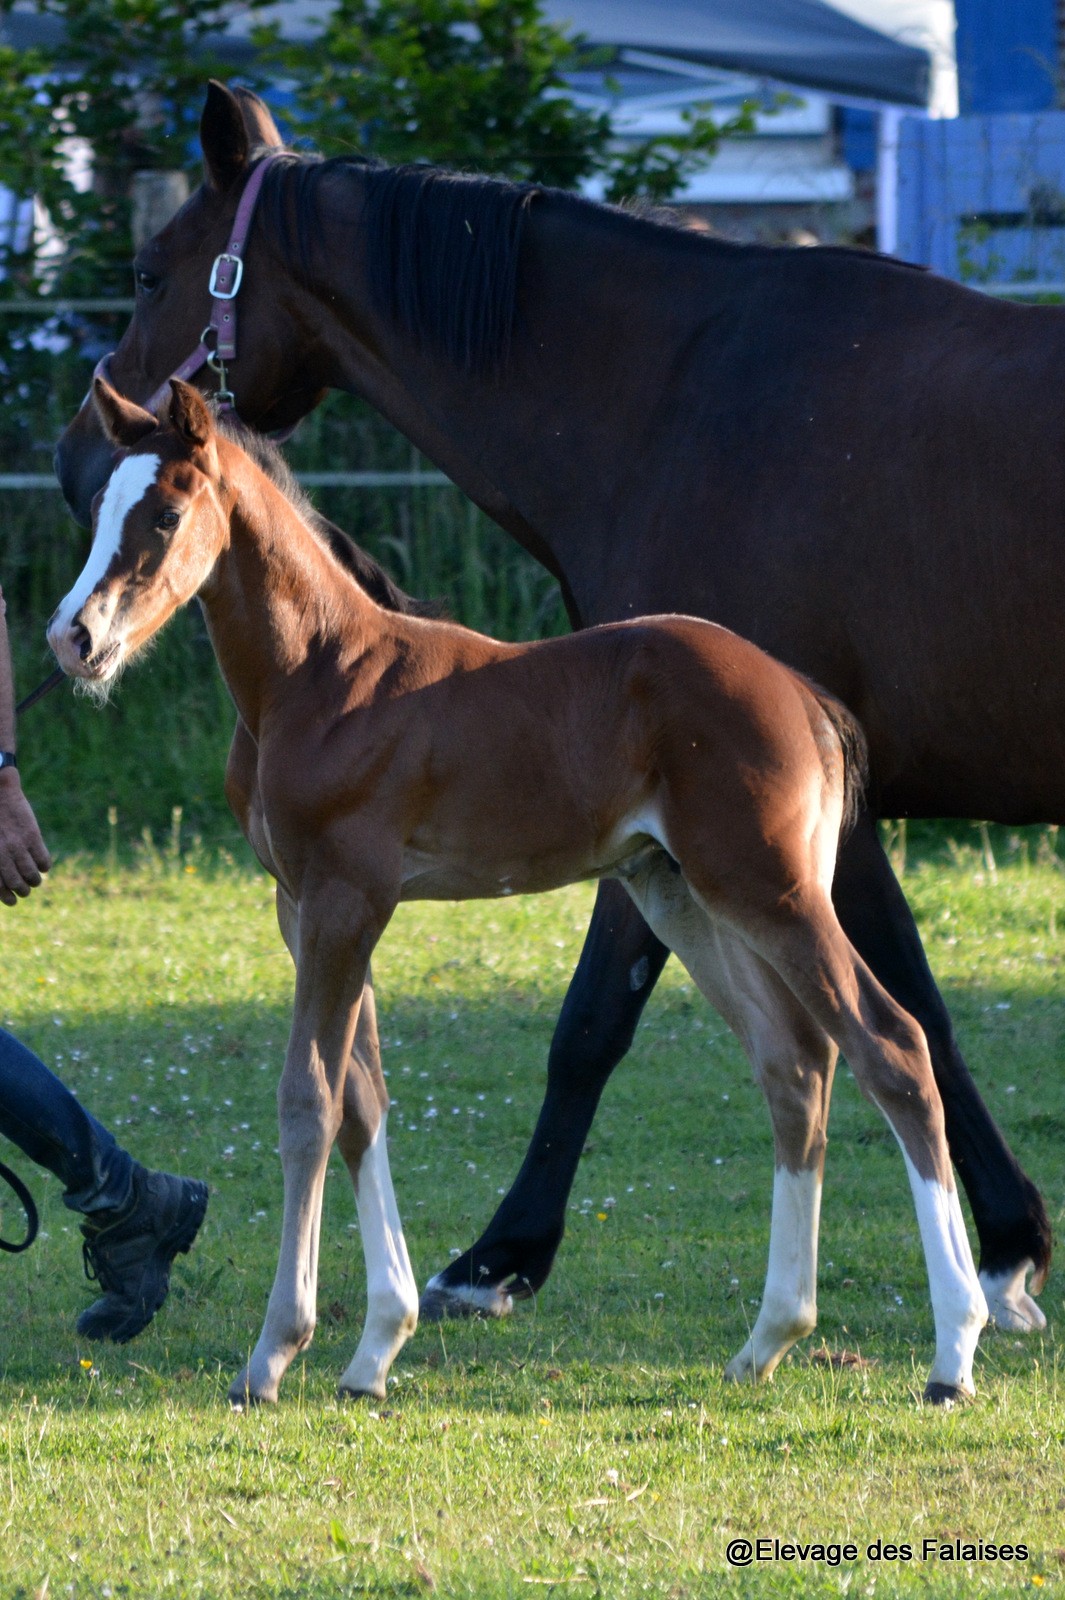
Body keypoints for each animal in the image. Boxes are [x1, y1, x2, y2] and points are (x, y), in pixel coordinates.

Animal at [47, 380, 978, 1408]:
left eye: (167, 514)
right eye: (97, 511)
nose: (74, 640)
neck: (318, 675)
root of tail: (801, 694)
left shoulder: (345, 900)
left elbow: (309, 1102)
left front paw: (274, 1353)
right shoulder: (306, 908)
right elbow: (363, 1101)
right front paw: (375, 1350)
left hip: (770, 890)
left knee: (890, 1044)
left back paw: (954, 1350)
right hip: (681, 898)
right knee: (796, 1064)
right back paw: (767, 1340)